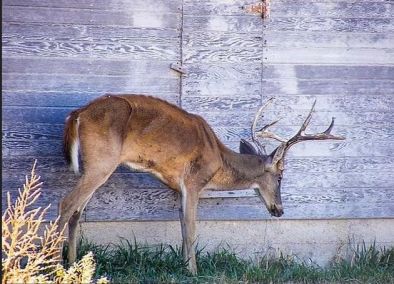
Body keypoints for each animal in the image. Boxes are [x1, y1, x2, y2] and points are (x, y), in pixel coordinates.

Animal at [59, 94, 344, 274]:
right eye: (281, 176)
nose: (280, 210)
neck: (218, 160)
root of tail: (76, 115)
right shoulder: (194, 181)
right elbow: (192, 228)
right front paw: (193, 271)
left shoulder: (178, 188)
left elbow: (182, 226)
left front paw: (184, 266)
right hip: (102, 161)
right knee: (66, 204)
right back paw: (53, 262)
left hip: (94, 165)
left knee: (77, 211)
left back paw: (73, 264)